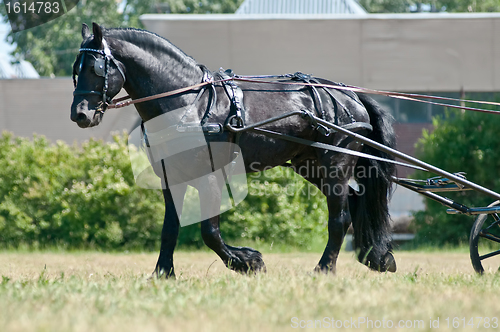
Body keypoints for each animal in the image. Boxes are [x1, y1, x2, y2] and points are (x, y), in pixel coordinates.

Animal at [71, 23, 398, 276]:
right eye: (76, 70)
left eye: (96, 68)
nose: (80, 115)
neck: (189, 101)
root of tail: (351, 96)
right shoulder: (171, 179)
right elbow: (170, 228)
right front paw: (163, 273)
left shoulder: (209, 176)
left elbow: (210, 232)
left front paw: (247, 262)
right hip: (310, 165)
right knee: (354, 202)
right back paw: (374, 257)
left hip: (336, 163)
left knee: (339, 219)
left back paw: (324, 269)